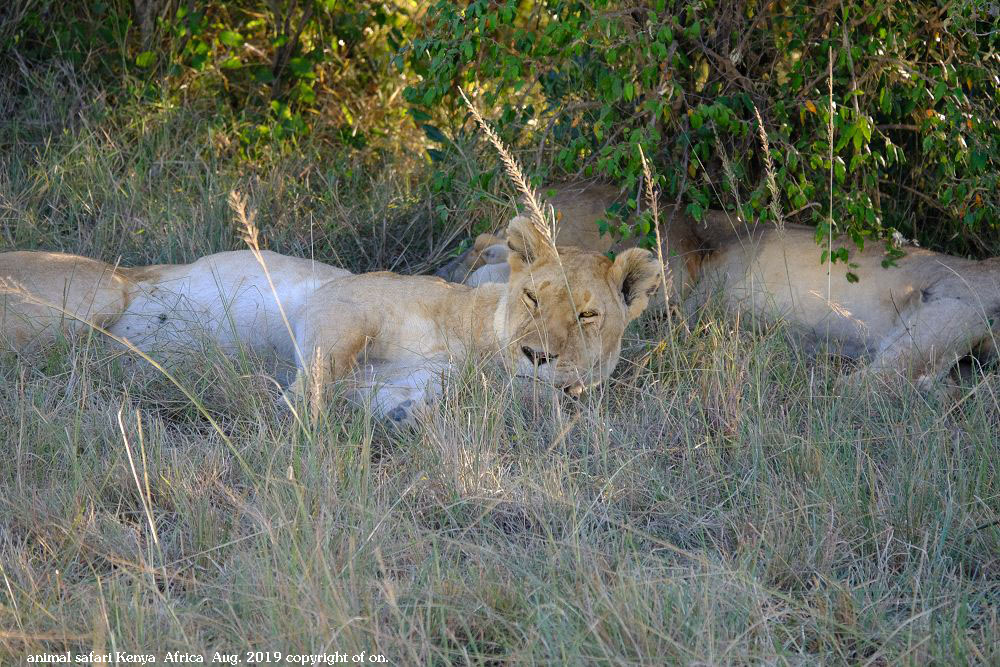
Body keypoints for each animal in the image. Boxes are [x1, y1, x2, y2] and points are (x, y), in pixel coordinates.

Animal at [1, 215, 664, 422]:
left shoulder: (396, 392)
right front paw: (286, 412)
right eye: (531, 298)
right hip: (97, 297)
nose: (537, 356)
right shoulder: (342, 298)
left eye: (587, 315)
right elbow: (320, 374)